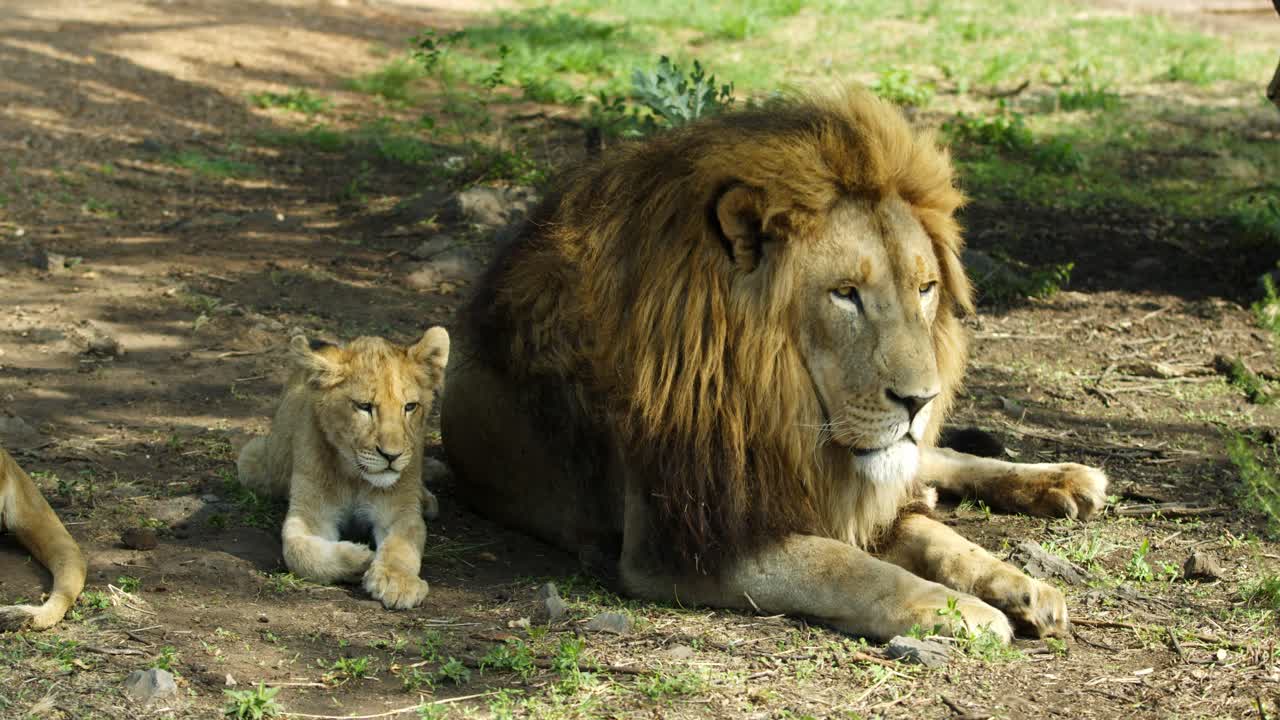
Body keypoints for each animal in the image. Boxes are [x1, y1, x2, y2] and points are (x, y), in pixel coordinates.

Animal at [237, 327, 449, 609]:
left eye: (410, 407)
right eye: (364, 406)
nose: (391, 456)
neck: (355, 476)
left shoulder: (400, 511)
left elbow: (402, 546)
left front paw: (397, 581)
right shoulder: (310, 515)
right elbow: (299, 552)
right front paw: (361, 558)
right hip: (253, 460)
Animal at [441, 88, 1108, 642]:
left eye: (925, 288)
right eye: (845, 294)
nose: (922, 400)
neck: (779, 408)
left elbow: (939, 539)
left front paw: (1021, 586)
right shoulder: (682, 541)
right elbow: (846, 566)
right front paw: (961, 610)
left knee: (937, 460)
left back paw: (1065, 479)